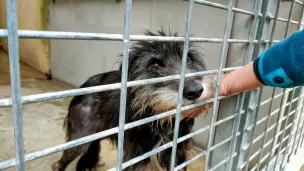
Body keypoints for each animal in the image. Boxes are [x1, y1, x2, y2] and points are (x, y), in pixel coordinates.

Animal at [51, 28, 214, 170]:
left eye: (189, 58)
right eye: (155, 64)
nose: (195, 91)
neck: (163, 122)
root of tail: (85, 84)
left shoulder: (177, 155)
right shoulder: (137, 159)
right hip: (80, 138)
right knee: (59, 163)